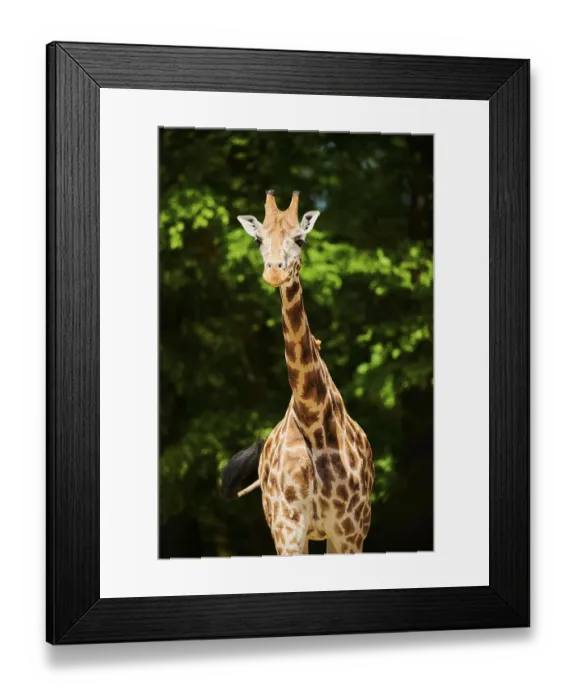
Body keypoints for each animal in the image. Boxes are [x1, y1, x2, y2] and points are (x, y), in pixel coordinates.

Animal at [221, 190, 374, 555]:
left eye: (300, 239)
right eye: (259, 239)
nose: (275, 273)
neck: (312, 418)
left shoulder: (348, 533)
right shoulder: (286, 528)